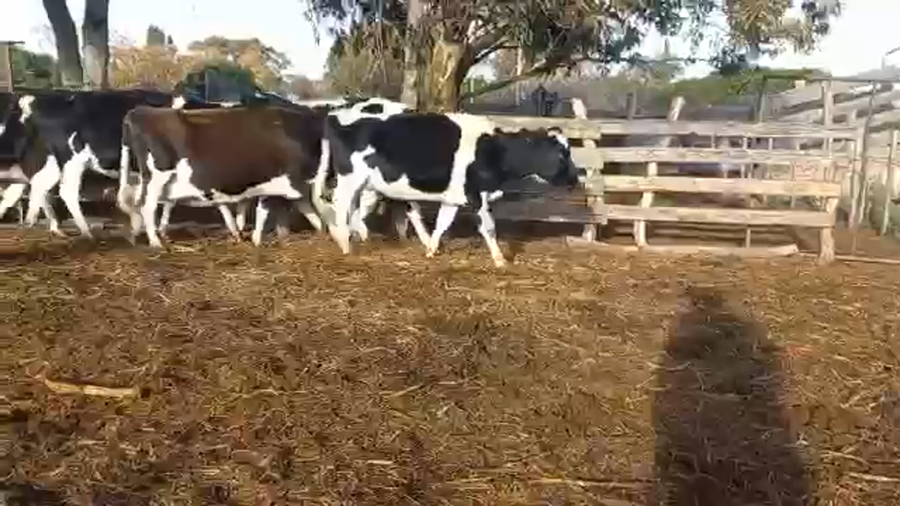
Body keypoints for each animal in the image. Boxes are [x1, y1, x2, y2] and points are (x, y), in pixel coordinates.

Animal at [315, 112, 580, 267]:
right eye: (561, 153)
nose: (575, 179)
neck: (493, 149)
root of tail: (337, 117)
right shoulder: (477, 196)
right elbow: (489, 227)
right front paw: (500, 260)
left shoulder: (454, 197)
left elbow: (442, 223)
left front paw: (431, 250)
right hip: (350, 179)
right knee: (340, 206)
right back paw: (345, 244)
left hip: (363, 183)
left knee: (352, 209)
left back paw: (354, 235)